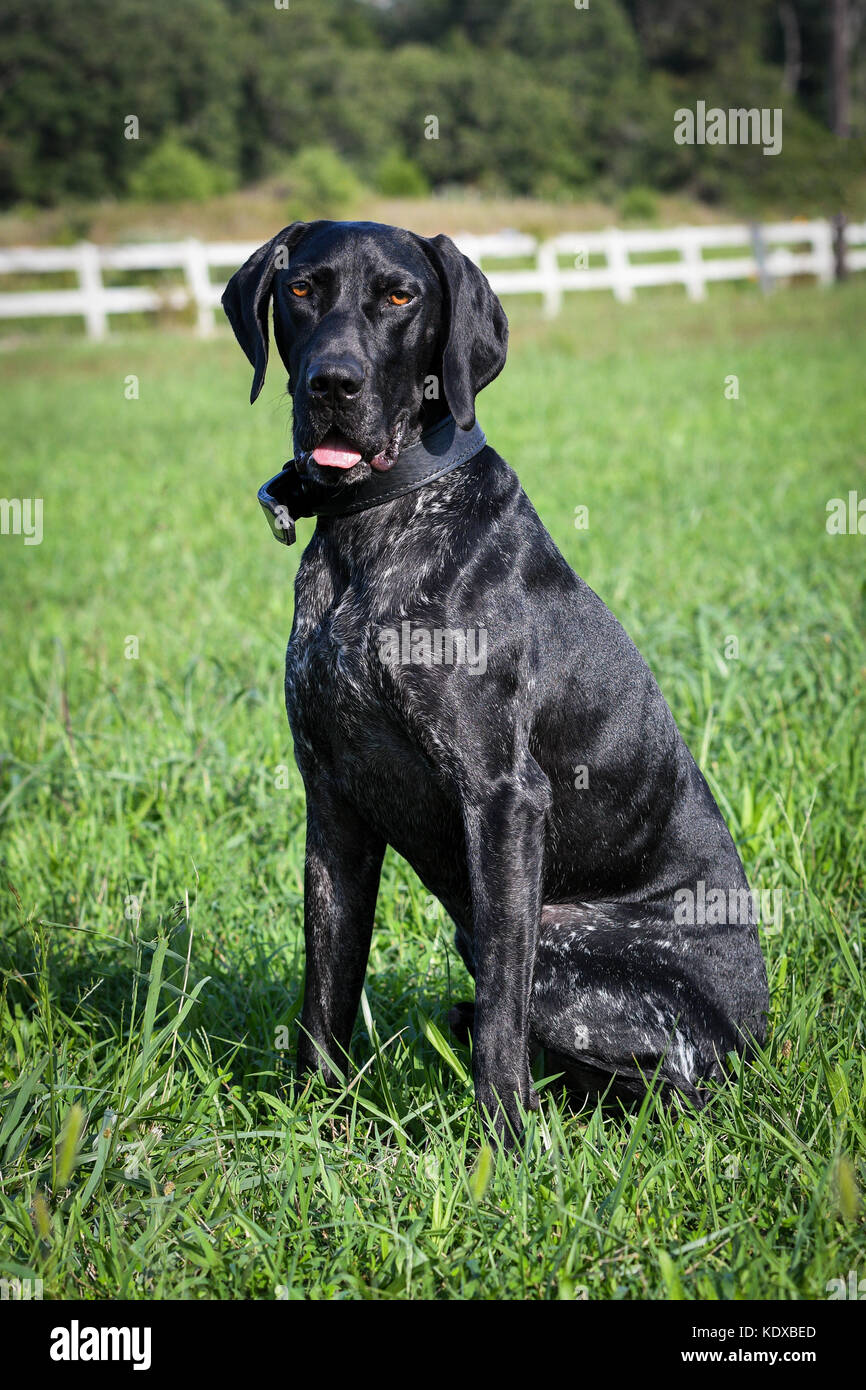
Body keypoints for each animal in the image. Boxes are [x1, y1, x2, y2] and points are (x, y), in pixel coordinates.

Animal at [219, 222, 767, 1145]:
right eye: (300, 290)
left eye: (400, 296)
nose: (333, 382)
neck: (377, 521)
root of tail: (757, 1041)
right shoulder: (334, 805)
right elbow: (325, 988)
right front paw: (315, 1122)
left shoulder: (503, 799)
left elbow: (503, 1022)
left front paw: (506, 1146)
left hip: (565, 957)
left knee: (658, 1079)